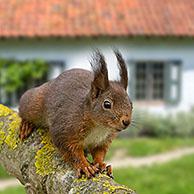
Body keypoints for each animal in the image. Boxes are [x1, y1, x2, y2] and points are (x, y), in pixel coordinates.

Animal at [19, 50, 133, 179]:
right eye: (107, 104)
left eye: (131, 103)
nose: (126, 122)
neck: (99, 127)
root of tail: (52, 81)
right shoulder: (66, 128)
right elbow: (71, 151)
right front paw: (84, 166)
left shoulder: (103, 140)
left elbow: (99, 152)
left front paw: (101, 164)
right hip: (35, 104)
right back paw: (26, 124)